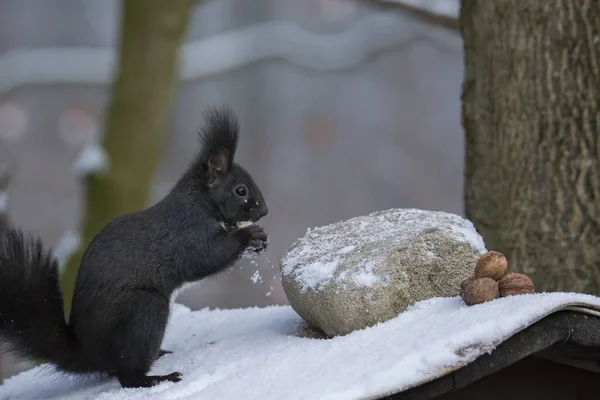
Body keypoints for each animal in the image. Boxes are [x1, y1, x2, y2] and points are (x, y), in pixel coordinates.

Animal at [0, 105, 270, 388]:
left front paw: (259, 241)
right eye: (241, 190)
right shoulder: (187, 232)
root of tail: (88, 354)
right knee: (127, 375)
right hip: (145, 310)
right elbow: (206, 256)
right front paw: (248, 235)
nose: (264, 211)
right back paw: (157, 377)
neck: (202, 201)